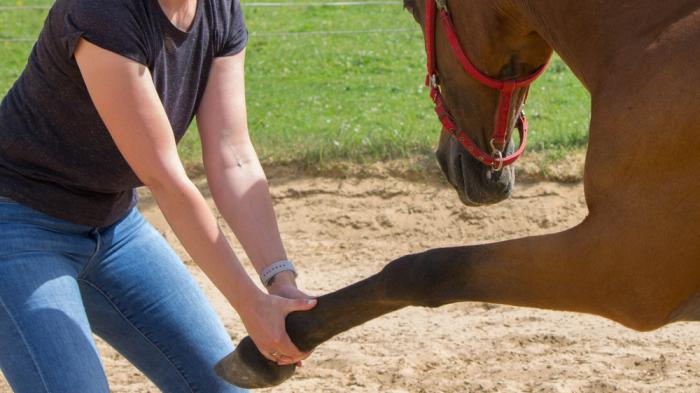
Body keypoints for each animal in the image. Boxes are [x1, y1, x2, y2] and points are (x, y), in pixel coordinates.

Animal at [216, 0, 700, 386]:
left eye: (414, 9)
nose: (448, 160)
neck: (652, 37)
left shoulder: (619, 269)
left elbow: (422, 270)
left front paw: (270, 347)